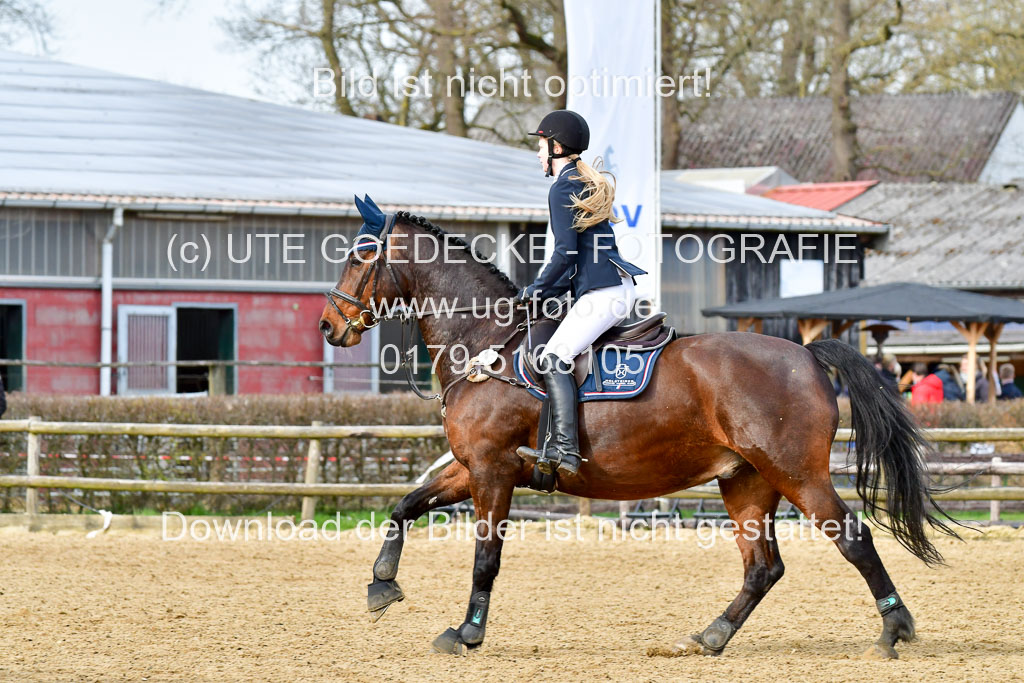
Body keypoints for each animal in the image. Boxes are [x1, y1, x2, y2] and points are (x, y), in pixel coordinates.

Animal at [315, 211, 954, 663]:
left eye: (359, 257)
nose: (328, 325)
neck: (486, 341)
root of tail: (806, 354)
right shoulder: (473, 465)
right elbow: (405, 505)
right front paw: (381, 585)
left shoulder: (493, 470)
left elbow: (485, 559)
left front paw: (467, 633)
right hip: (746, 480)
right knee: (762, 567)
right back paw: (711, 636)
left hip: (796, 473)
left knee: (853, 538)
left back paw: (894, 630)